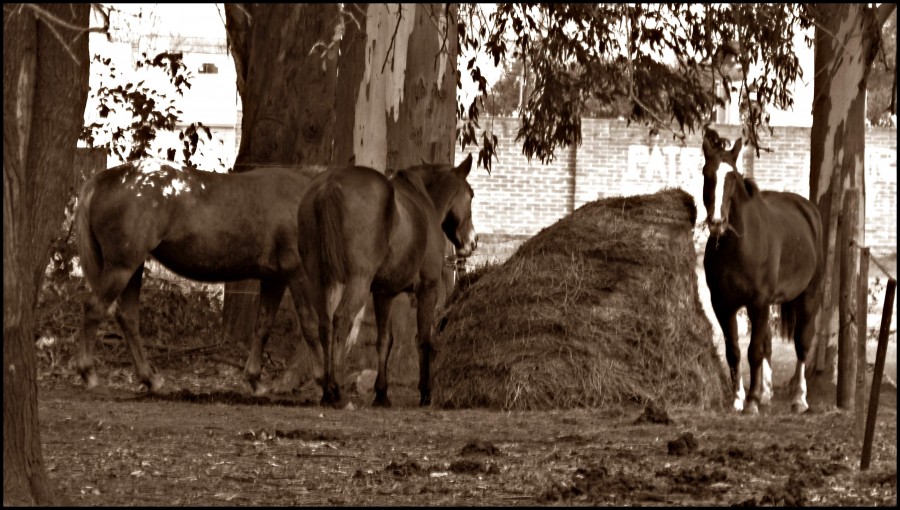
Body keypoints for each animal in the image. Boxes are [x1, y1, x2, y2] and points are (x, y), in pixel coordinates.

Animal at [74, 158, 326, 394]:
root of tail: (103, 179)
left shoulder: (275, 279)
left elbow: (263, 326)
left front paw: (255, 380)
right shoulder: (297, 272)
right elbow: (311, 324)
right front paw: (324, 381)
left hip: (132, 269)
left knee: (128, 317)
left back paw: (150, 379)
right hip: (121, 267)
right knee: (95, 307)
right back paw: (90, 376)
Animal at [298, 153, 482, 408]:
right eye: (471, 194)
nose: (472, 242)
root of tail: (329, 184)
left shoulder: (383, 294)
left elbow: (385, 340)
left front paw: (382, 393)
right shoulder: (428, 288)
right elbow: (423, 339)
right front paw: (425, 392)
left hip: (320, 280)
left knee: (325, 326)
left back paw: (327, 392)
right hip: (358, 280)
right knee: (341, 320)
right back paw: (339, 393)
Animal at [704, 130, 824, 414]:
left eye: (732, 177)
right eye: (706, 172)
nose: (717, 222)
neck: (737, 247)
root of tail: (809, 210)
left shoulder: (757, 303)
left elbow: (754, 351)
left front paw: (751, 401)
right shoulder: (722, 304)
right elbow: (734, 351)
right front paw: (739, 398)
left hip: (808, 296)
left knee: (802, 343)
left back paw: (799, 398)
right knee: (767, 343)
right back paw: (766, 391)